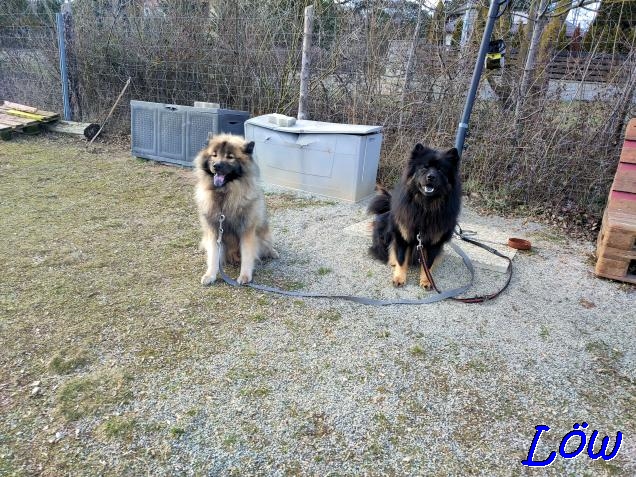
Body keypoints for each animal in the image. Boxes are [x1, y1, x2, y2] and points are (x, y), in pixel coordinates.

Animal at [368, 143, 462, 288]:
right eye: (424, 167)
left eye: (440, 170)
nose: (431, 177)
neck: (426, 207)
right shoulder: (403, 236)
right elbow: (401, 259)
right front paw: (399, 278)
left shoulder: (434, 242)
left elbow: (428, 264)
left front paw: (427, 280)